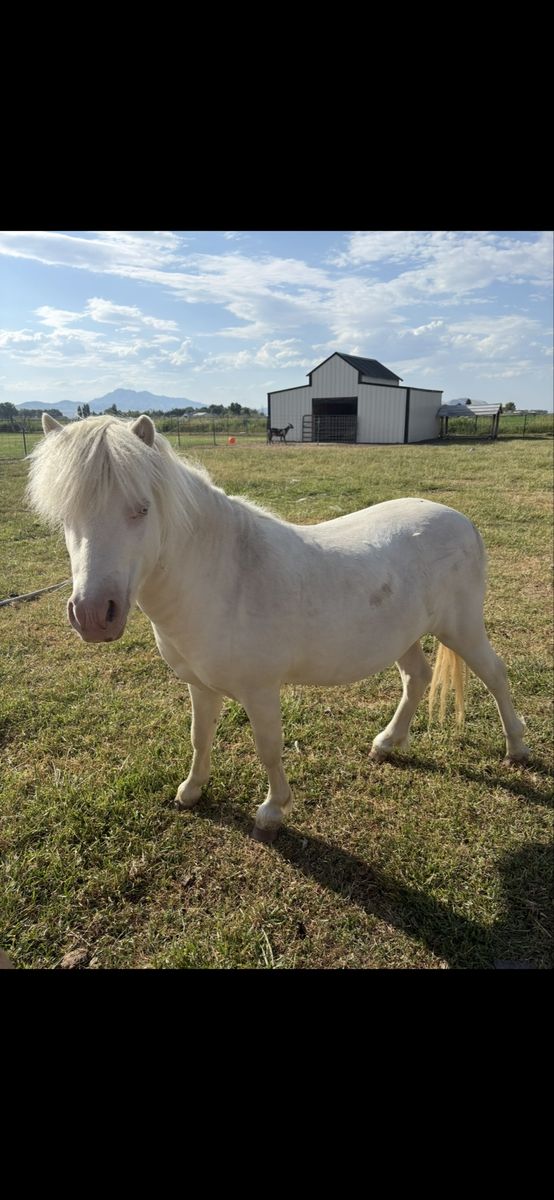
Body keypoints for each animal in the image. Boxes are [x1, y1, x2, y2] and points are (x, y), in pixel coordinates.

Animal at [28, 413, 529, 843]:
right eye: (65, 515)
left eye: (142, 509)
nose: (94, 615)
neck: (224, 577)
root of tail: (460, 519)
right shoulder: (200, 686)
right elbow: (199, 737)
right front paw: (191, 791)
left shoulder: (261, 690)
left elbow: (268, 747)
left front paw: (272, 812)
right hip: (403, 635)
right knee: (417, 678)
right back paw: (387, 743)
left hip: (461, 628)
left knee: (496, 675)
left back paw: (516, 749)